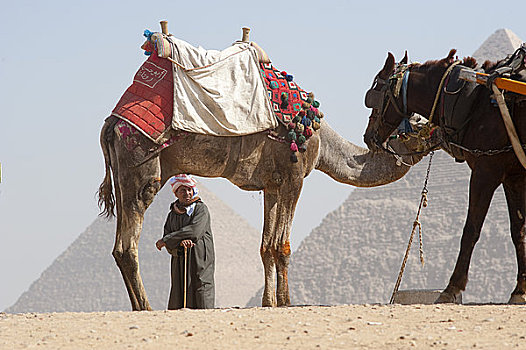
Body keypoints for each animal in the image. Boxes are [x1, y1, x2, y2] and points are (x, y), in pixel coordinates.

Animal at [366, 47, 526, 302]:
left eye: (373, 95)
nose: (367, 136)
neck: (471, 100)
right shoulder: (514, 175)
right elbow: (517, 230)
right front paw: (520, 290)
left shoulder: (486, 170)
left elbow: (471, 229)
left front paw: (452, 287)